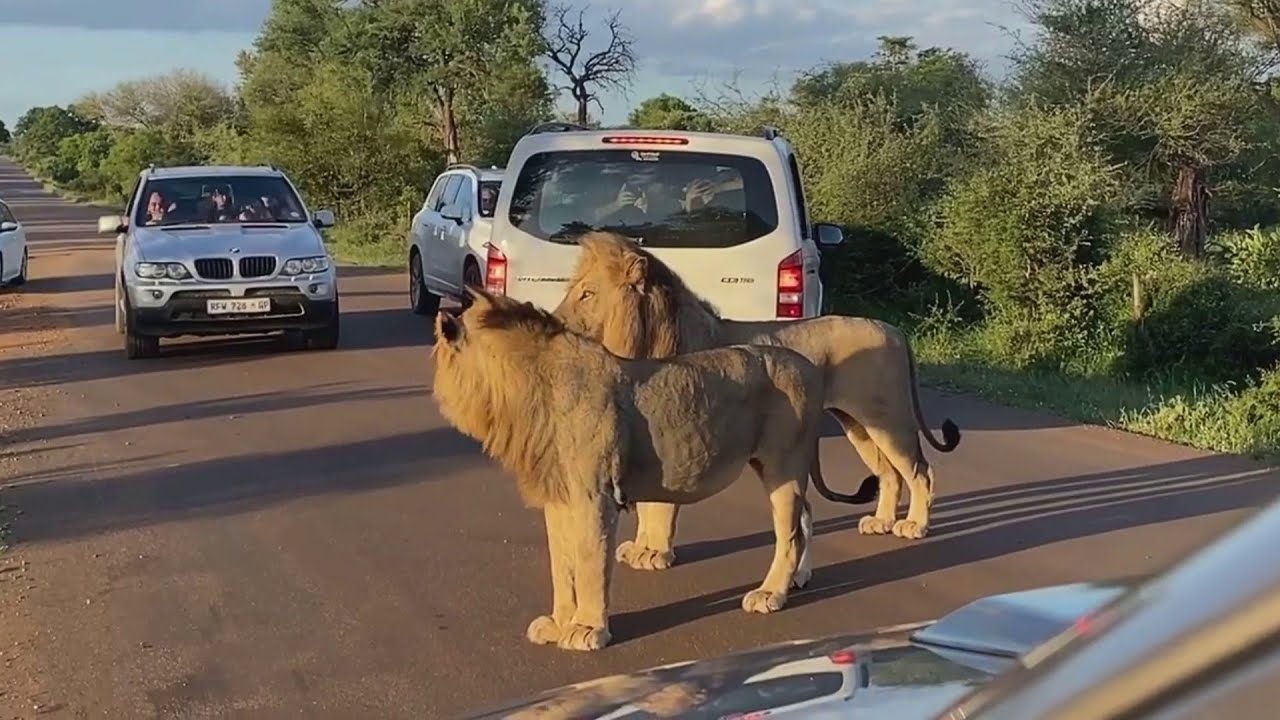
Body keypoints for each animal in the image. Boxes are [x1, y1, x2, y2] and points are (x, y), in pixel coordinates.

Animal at [431, 285, 831, 651]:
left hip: (782, 464)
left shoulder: (595, 496)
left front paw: (587, 629)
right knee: (805, 516)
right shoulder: (559, 498)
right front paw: (559, 623)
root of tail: (808, 366)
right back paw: (799, 579)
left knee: (790, 534)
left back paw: (771, 593)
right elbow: (562, 566)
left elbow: (589, 563)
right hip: (781, 470)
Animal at [552, 231, 962, 572]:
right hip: (858, 424)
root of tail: (895, 329)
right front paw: (641, 548)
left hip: (888, 418)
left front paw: (654, 554)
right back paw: (882, 521)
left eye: (587, 293)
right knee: (889, 473)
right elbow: (649, 504)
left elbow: (660, 506)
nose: (553, 321)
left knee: (920, 471)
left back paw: (914, 525)